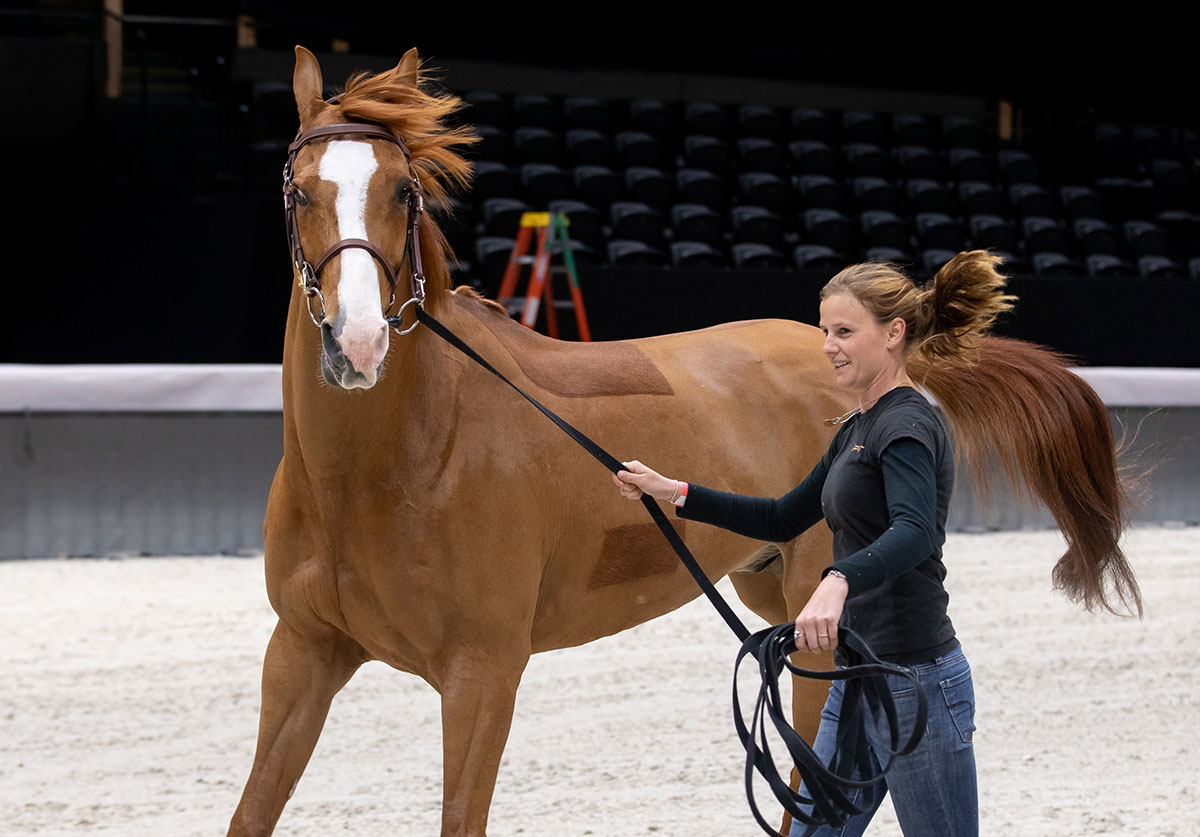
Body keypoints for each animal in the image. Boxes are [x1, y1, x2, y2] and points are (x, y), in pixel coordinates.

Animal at [226, 47, 1142, 834]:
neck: (388, 470)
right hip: (770, 596)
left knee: (817, 770)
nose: (358, 343)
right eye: (297, 190)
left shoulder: (483, 672)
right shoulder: (301, 652)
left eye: (403, 191)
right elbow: (253, 811)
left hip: (818, 625)